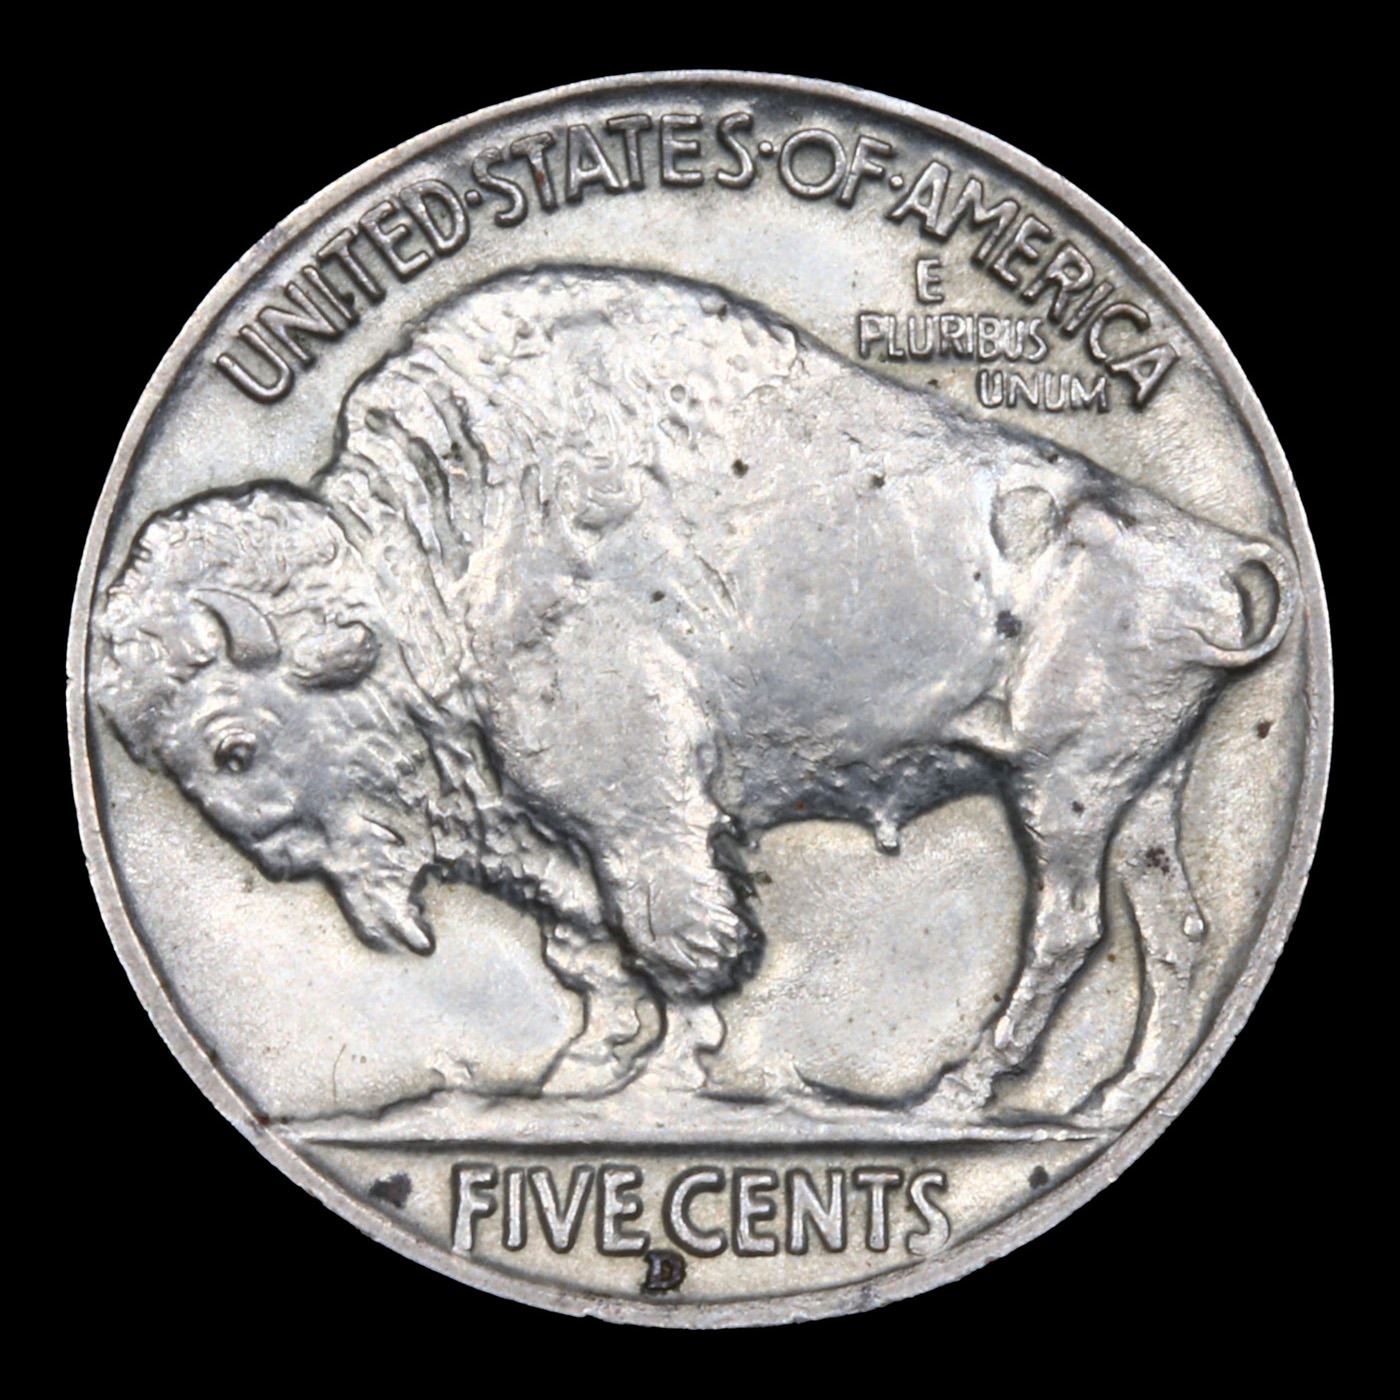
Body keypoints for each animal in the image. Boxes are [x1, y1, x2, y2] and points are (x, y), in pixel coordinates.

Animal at [92, 265, 1294, 1118]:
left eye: (234, 746)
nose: (278, 855)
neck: (447, 550)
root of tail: (1211, 554)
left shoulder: (635, 802)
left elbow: (677, 932)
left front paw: (669, 1076)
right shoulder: (564, 832)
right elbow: (589, 939)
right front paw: (588, 1066)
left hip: (1063, 790)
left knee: (1068, 928)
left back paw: (965, 1088)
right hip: (1141, 794)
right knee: (1176, 931)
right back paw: (1112, 1096)